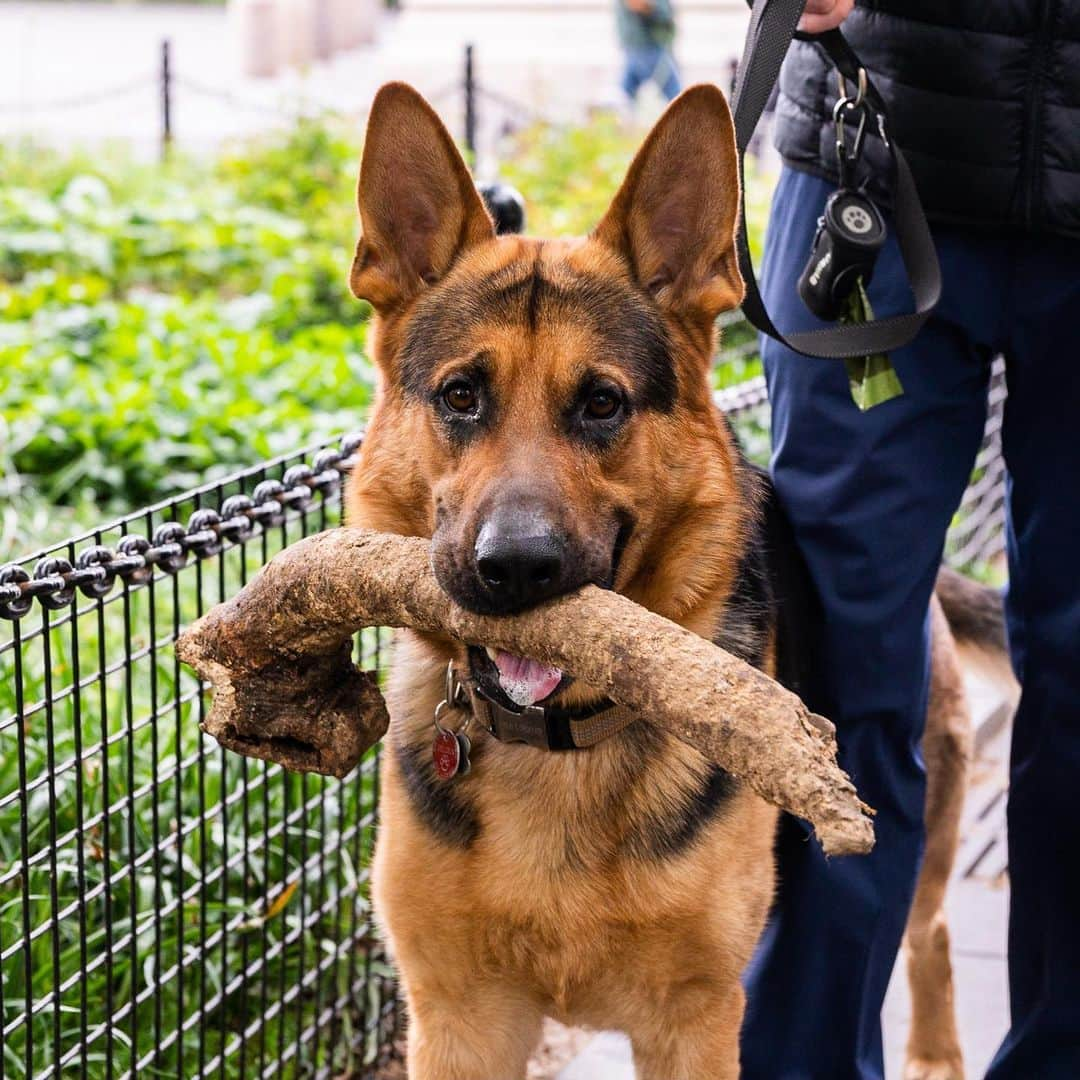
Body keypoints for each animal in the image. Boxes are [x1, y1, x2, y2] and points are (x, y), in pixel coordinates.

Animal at [343, 79, 1010, 1075]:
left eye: (602, 403)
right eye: (461, 396)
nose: (515, 571)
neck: (560, 748)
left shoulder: (692, 1020)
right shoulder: (461, 1022)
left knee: (921, 929)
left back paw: (933, 1049)